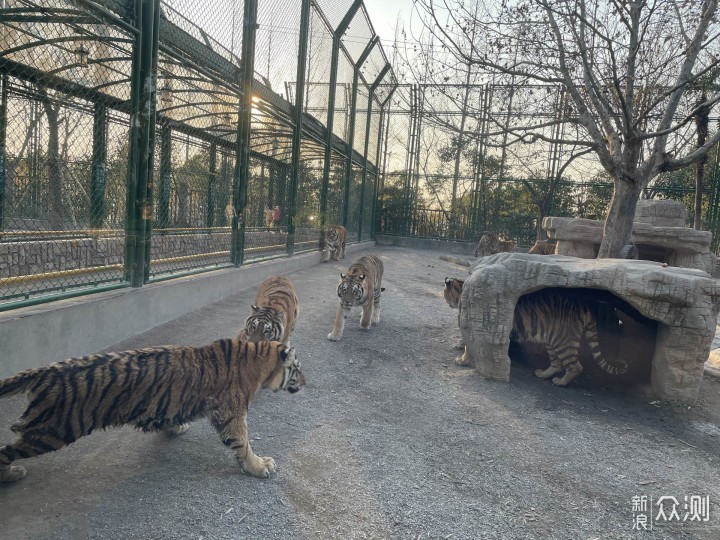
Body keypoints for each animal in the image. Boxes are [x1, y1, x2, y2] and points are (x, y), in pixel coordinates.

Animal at [0, 340, 304, 484]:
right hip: (53, 430)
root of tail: (46, 371)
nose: (305, 382)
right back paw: (11, 475)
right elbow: (243, 443)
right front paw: (260, 467)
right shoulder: (231, 413)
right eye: (297, 369)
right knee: (6, 450)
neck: (259, 361)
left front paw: (175, 427)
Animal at [442, 278, 628, 388]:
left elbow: (469, 347)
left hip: (564, 342)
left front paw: (462, 360)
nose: (445, 299)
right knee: (557, 363)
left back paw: (560, 382)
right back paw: (542, 374)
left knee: (575, 366)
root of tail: (584, 305)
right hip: (552, 340)